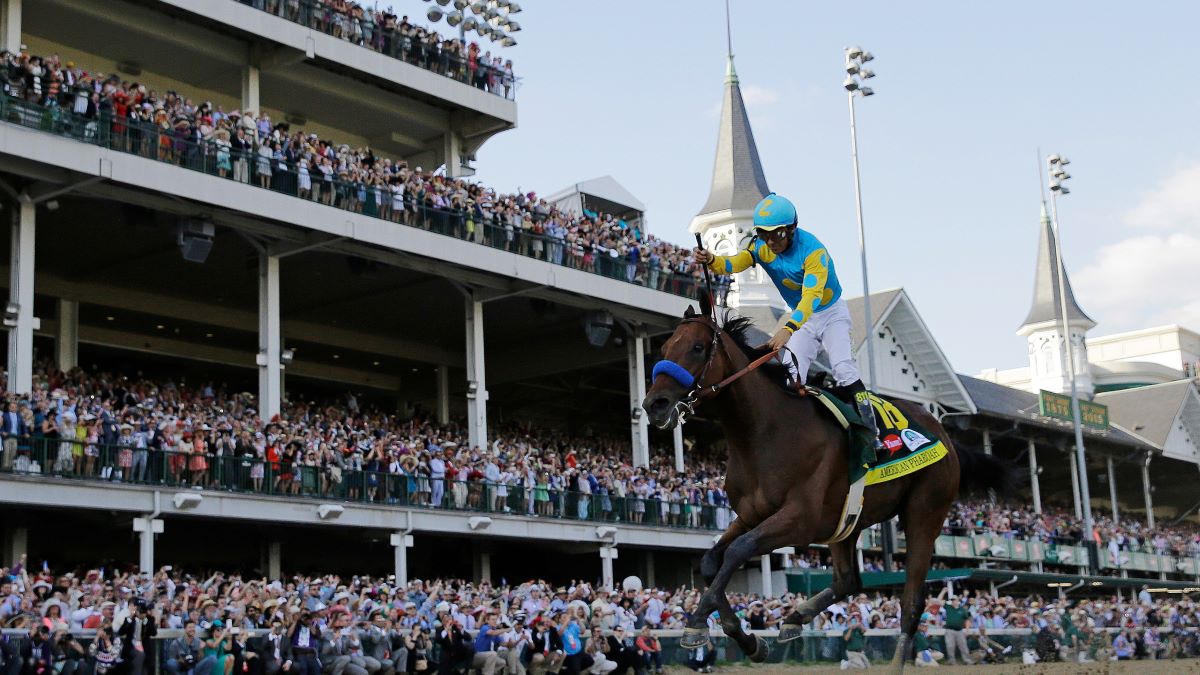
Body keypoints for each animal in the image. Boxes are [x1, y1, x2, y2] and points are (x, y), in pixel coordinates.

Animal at [648, 307, 1012, 667]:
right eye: (664, 348)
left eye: (697, 348)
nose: (654, 404)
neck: (765, 432)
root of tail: (945, 434)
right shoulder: (751, 515)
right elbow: (712, 560)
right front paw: (750, 641)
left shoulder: (799, 520)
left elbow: (738, 550)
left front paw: (697, 622)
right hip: (847, 521)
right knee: (848, 579)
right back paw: (795, 617)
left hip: (925, 513)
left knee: (911, 603)